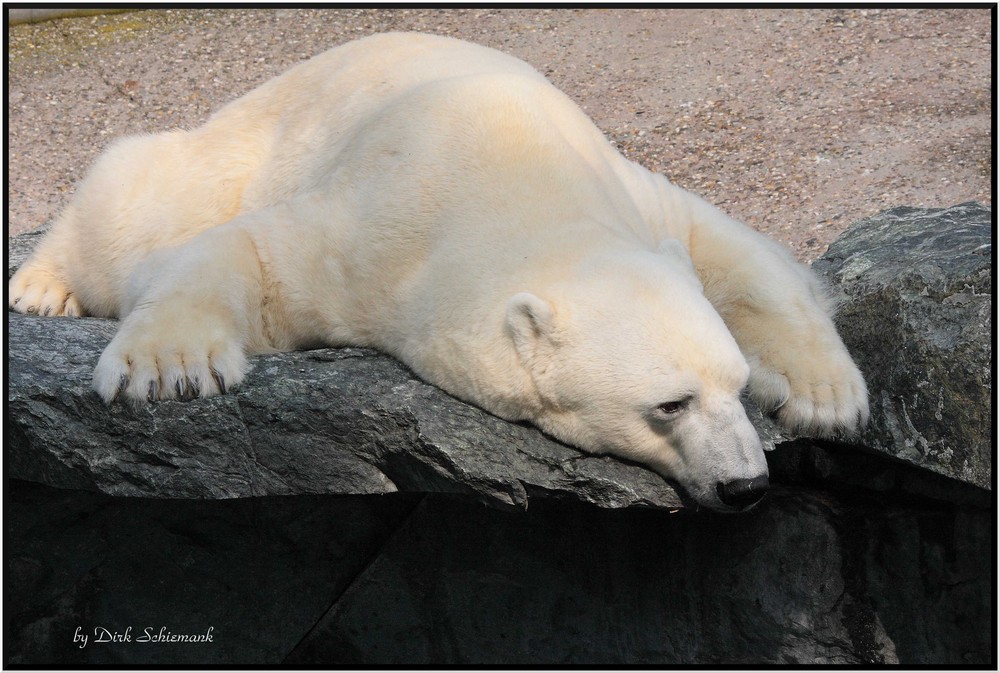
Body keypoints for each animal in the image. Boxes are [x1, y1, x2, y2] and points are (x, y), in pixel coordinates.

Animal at [7, 32, 868, 510]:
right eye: (669, 403)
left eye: (733, 383)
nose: (747, 485)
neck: (519, 178)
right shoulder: (378, 241)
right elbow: (255, 256)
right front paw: (168, 369)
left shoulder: (628, 192)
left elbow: (730, 244)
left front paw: (826, 397)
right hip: (244, 139)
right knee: (142, 199)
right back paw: (41, 284)